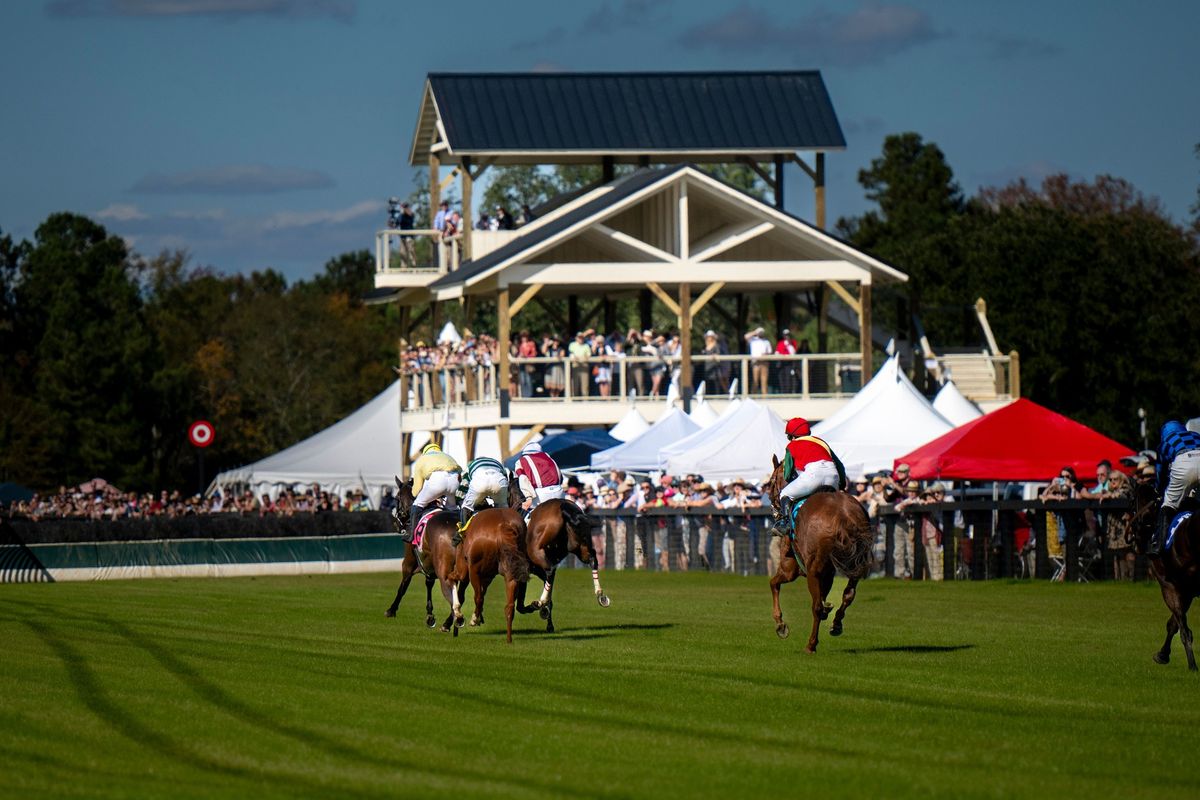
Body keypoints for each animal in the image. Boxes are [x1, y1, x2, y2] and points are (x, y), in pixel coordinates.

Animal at [384, 474, 463, 638]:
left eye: (396, 497)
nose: (397, 523)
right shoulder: (427, 563)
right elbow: (429, 583)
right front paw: (430, 615)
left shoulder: (409, 562)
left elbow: (403, 586)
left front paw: (391, 610)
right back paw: (452, 621)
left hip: (444, 568)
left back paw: (454, 619)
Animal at [513, 482, 614, 633]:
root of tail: (564, 508)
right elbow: (549, 589)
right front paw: (549, 622)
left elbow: (522, 602)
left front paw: (541, 610)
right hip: (580, 546)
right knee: (593, 560)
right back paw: (600, 595)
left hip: (537, 552)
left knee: (549, 570)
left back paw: (539, 603)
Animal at [768, 460, 873, 652]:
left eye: (771, 481)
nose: (773, 507)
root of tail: (844, 515)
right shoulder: (827, 573)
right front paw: (828, 610)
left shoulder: (789, 569)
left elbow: (774, 584)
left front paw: (780, 625)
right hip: (855, 562)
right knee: (848, 594)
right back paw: (836, 624)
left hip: (813, 570)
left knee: (815, 606)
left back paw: (811, 644)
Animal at [1128, 479, 1195, 671]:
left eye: (1131, 502)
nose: (1136, 542)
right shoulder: (1186, 590)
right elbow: (1174, 624)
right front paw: (1163, 654)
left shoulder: (1170, 585)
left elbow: (1180, 627)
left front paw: (1190, 665)